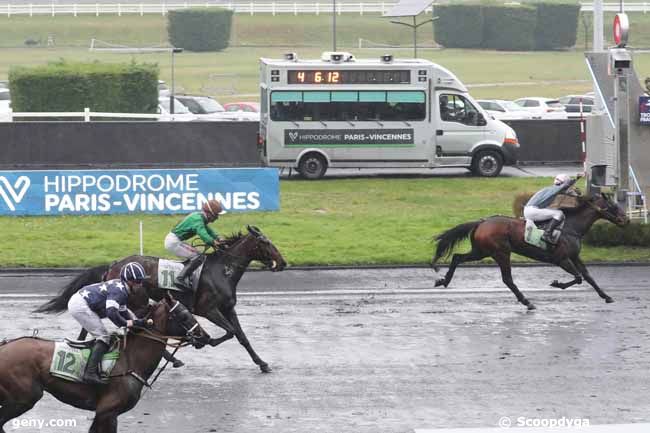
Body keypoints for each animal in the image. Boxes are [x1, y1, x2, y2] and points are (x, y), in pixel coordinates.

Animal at [0, 292, 206, 430]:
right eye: (185, 315)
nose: (206, 336)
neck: (130, 358)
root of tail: (4, 346)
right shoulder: (107, 412)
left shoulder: (104, 414)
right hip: (25, 397)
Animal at [35, 226, 286, 372]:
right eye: (265, 243)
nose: (283, 263)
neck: (222, 270)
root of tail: (113, 264)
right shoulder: (208, 309)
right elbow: (230, 332)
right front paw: (208, 341)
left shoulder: (227, 308)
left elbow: (242, 336)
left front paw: (262, 363)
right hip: (136, 301)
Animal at [430, 193, 628, 310]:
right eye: (614, 206)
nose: (626, 220)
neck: (571, 227)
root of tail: (481, 222)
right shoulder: (561, 259)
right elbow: (579, 277)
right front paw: (557, 284)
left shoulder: (574, 256)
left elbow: (588, 277)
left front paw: (606, 296)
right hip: (501, 252)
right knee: (507, 279)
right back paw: (527, 301)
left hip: (482, 251)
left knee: (457, 257)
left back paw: (444, 281)